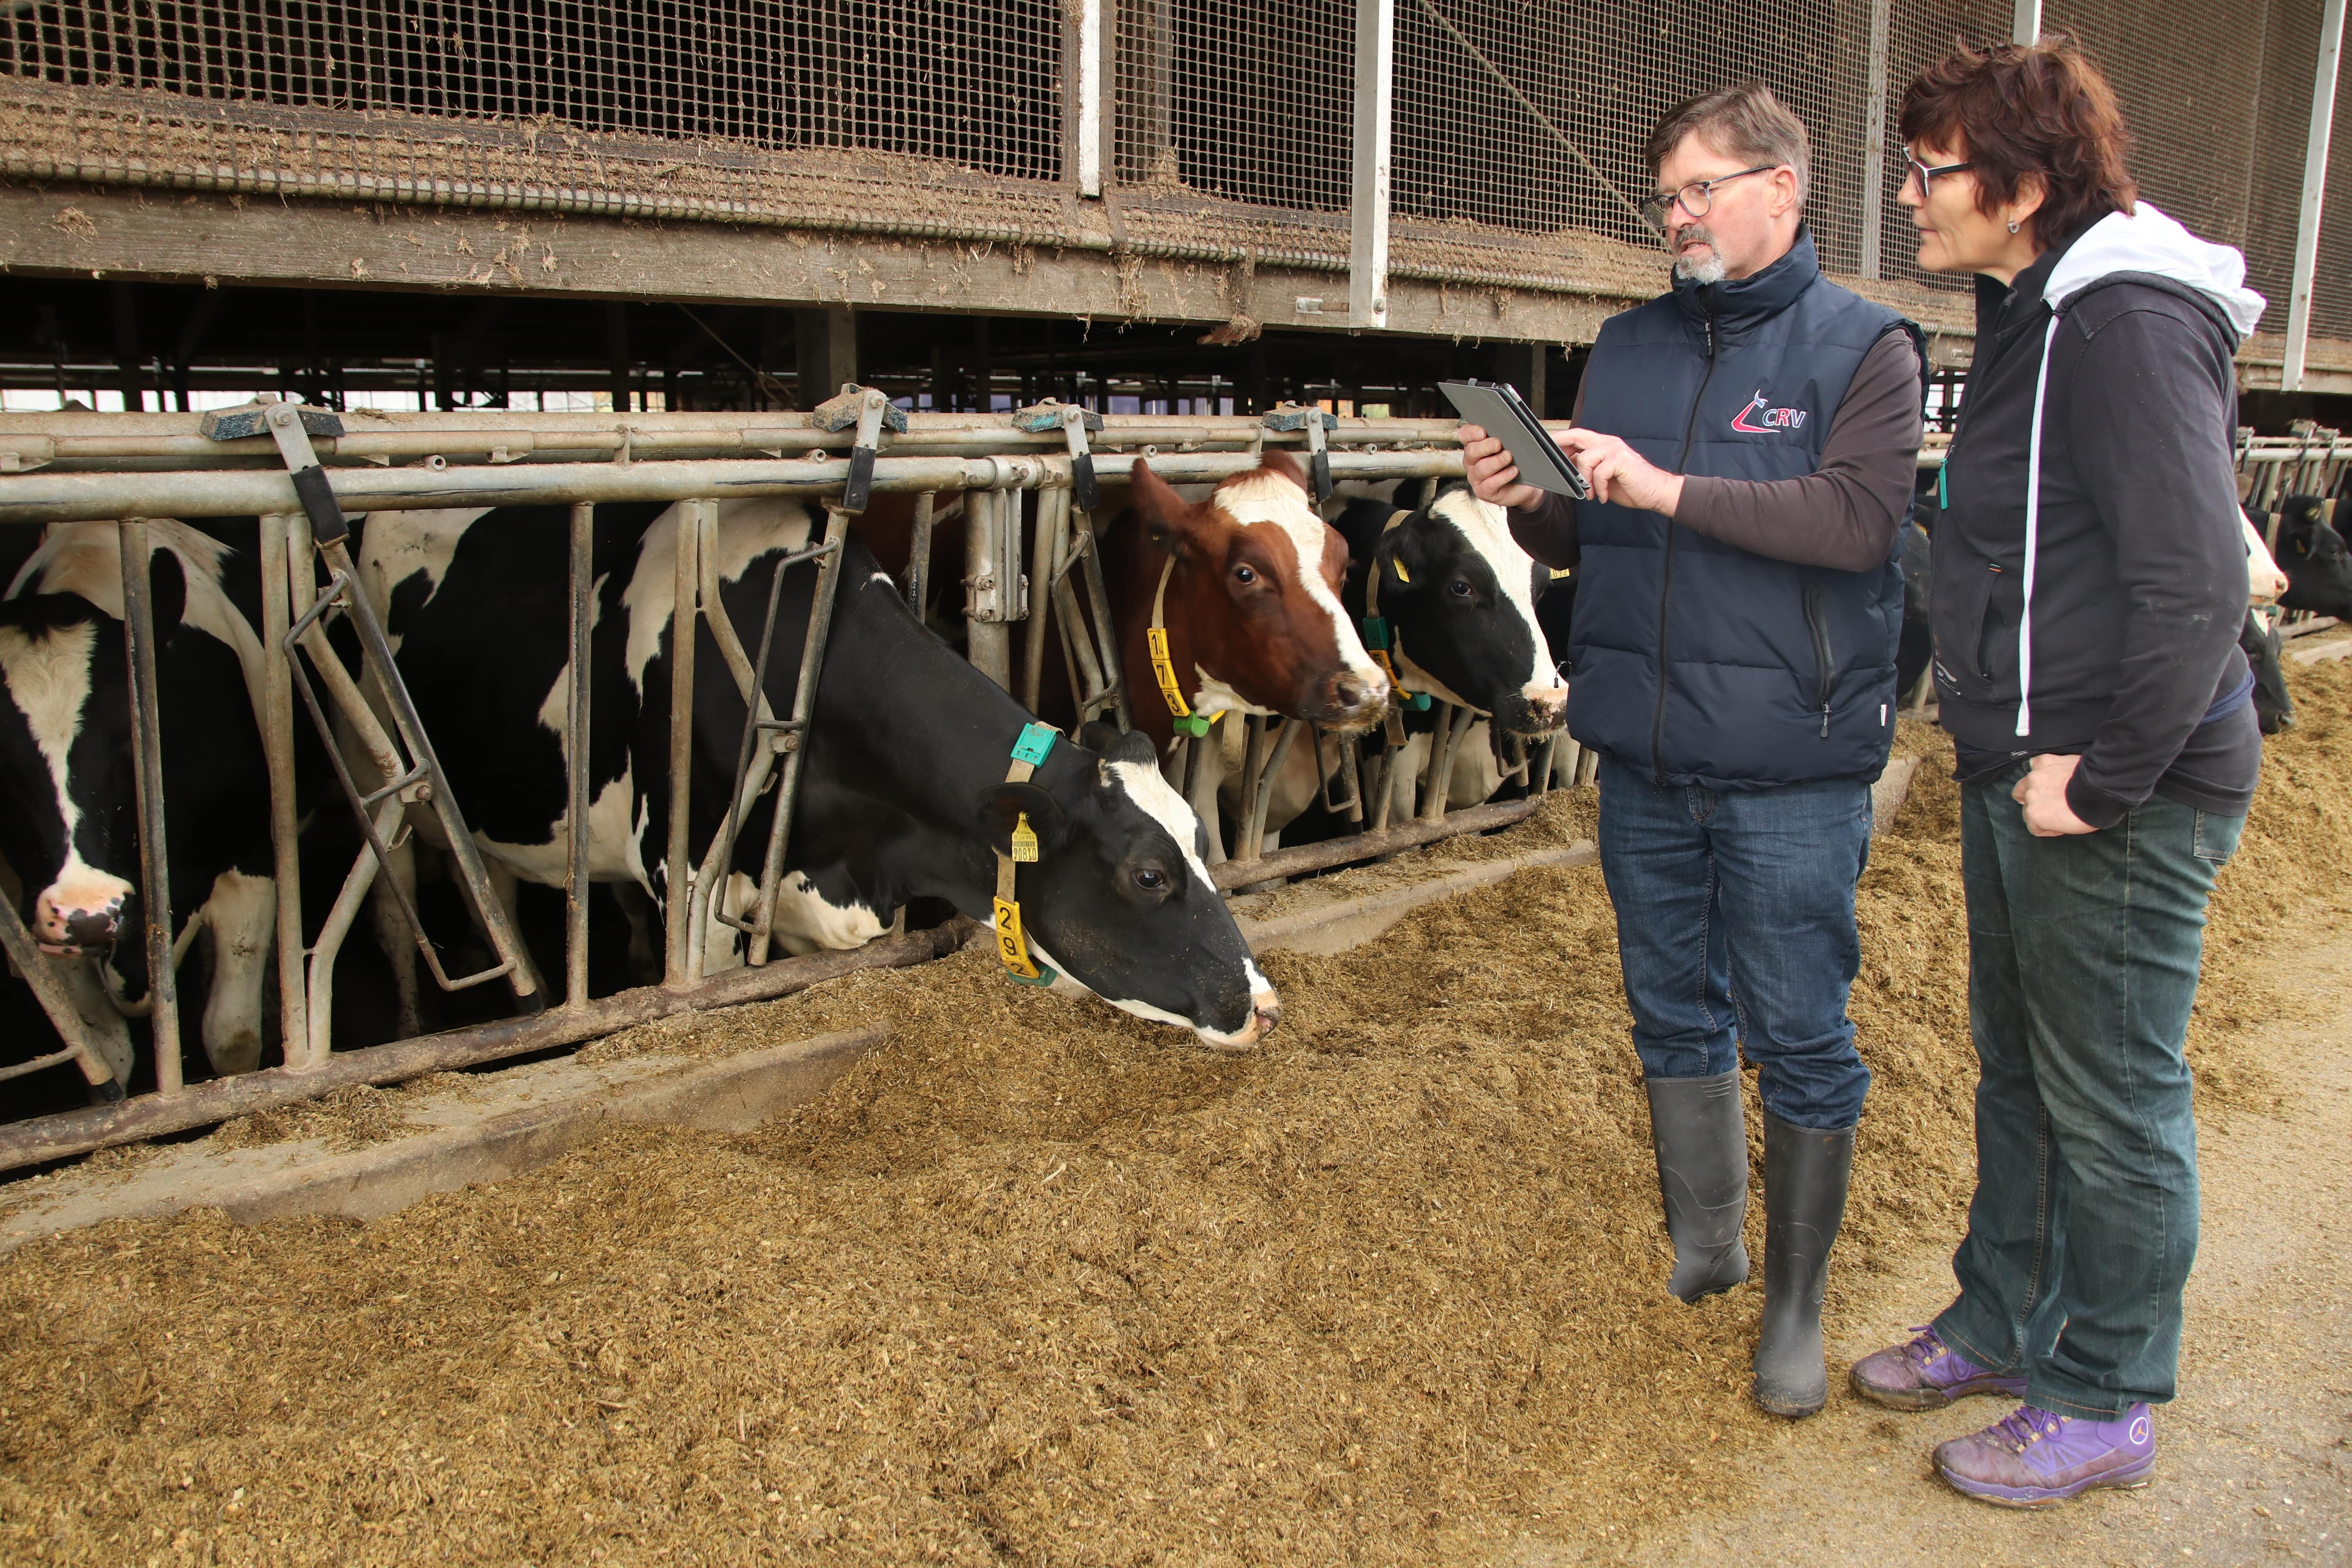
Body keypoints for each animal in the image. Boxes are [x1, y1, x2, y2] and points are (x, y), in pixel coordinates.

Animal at [0, 522, 285, 1086]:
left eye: (130, 738)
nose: (90, 911)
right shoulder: (39, 918)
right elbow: (109, 1051)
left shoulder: (250, 865)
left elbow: (232, 1036)